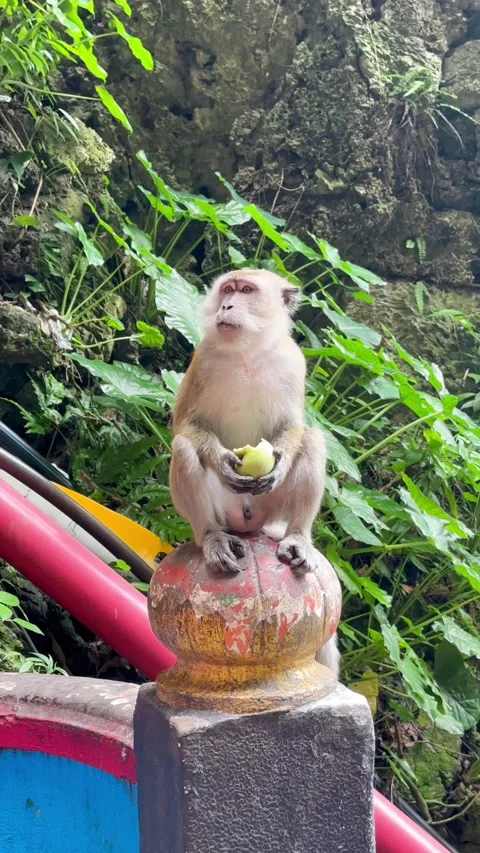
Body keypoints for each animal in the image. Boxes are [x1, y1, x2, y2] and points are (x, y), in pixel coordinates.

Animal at [169, 268, 339, 674]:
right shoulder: (203, 359)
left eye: (246, 290)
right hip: (226, 509)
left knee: (314, 438)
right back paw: (212, 538)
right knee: (183, 448)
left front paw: (280, 460)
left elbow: (294, 427)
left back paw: (298, 537)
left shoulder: (294, 363)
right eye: (227, 290)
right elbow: (184, 426)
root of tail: (250, 524)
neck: (247, 353)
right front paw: (221, 460)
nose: (227, 306)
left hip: (270, 509)